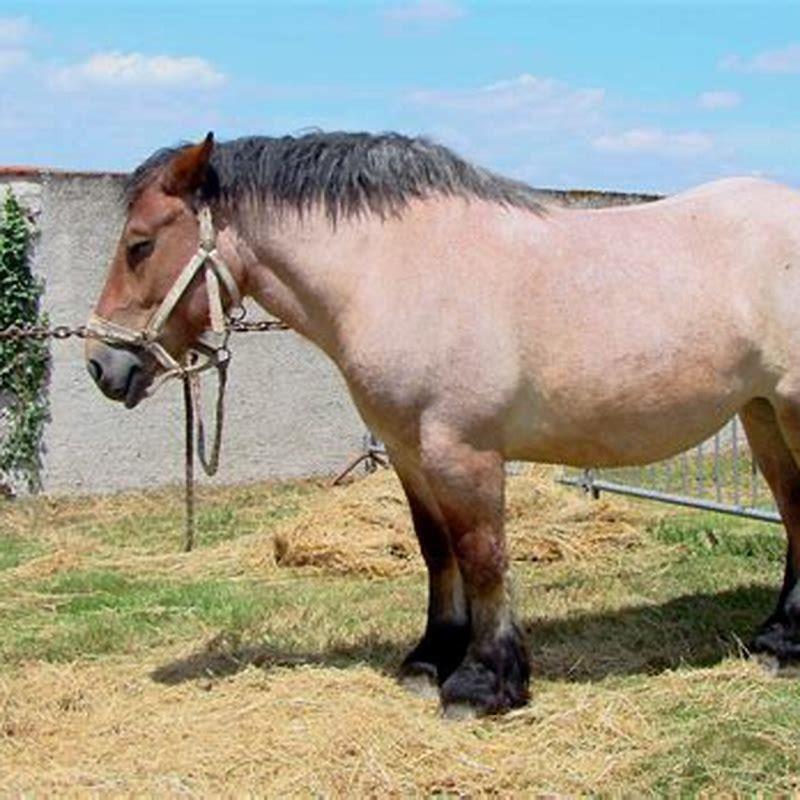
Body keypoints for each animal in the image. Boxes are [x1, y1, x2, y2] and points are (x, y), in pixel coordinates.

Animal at [85, 131, 800, 717]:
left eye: (140, 245)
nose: (101, 365)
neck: (397, 272)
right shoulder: (408, 451)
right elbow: (437, 552)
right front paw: (430, 659)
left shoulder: (463, 450)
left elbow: (482, 556)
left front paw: (483, 683)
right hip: (761, 414)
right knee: (794, 513)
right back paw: (777, 639)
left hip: (788, 409)